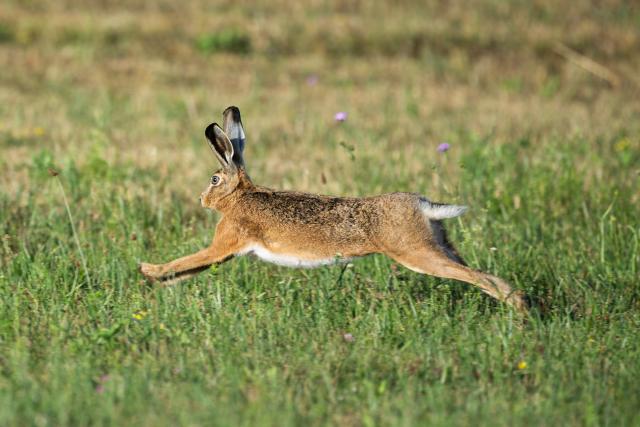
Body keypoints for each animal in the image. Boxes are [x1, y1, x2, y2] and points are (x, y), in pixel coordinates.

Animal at [139, 107, 528, 311]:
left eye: (214, 179)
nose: (201, 199)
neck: (241, 195)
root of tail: (423, 206)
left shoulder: (227, 242)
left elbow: (188, 261)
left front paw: (148, 270)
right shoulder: (227, 251)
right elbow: (190, 269)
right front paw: (155, 280)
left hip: (414, 251)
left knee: (481, 278)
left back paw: (518, 313)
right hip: (440, 244)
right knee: (485, 274)